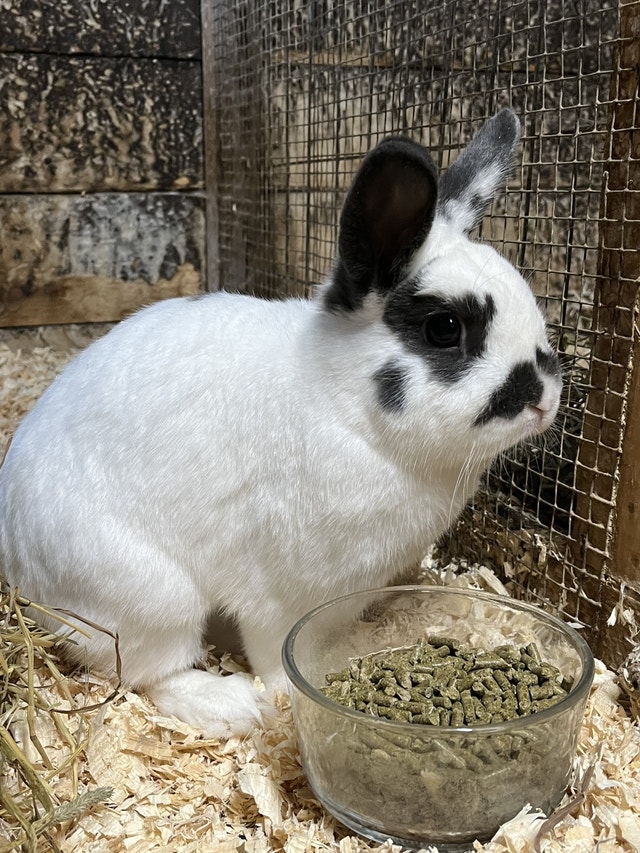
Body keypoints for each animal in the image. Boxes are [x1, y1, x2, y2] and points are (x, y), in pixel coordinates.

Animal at [0, 109, 562, 738]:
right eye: (444, 328)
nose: (545, 398)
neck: (345, 410)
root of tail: (16, 566)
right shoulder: (280, 594)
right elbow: (274, 649)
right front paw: (283, 691)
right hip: (148, 598)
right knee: (148, 672)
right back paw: (232, 706)